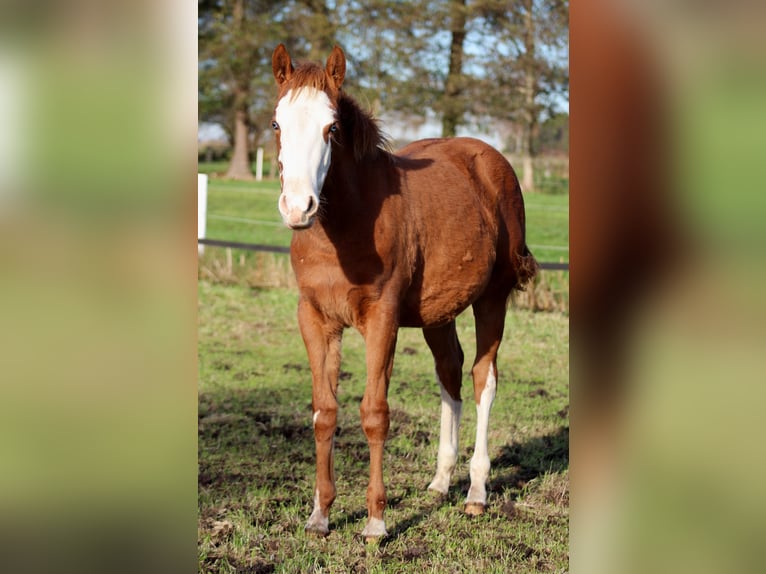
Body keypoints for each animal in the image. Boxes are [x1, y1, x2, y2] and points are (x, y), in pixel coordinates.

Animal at [270, 44, 537, 541]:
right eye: (277, 124)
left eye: (331, 128)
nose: (298, 207)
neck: (347, 222)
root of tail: (492, 161)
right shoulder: (315, 318)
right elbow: (324, 412)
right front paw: (320, 515)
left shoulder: (383, 318)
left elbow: (375, 413)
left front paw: (376, 521)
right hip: (439, 311)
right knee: (450, 372)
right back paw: (440, 481)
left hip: (492, 299)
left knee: (483, 378)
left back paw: (476, 491)